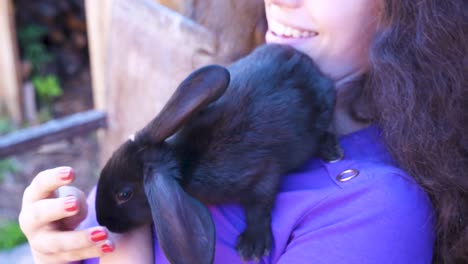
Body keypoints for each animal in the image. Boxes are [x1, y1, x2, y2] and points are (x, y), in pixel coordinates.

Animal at [96, 43, 344, 264]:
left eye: (124, 194)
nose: (103, 221)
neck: (185, 159)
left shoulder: (263, 170)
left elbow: (260, 204)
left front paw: (252, 245)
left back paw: (331, 150)